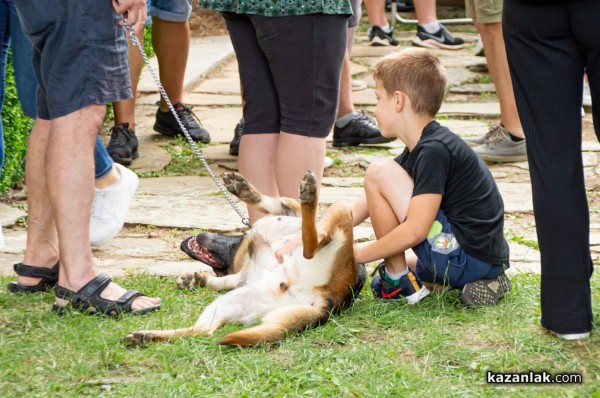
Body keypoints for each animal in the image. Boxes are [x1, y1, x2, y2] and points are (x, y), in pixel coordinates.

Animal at [124, 169, 364, 346]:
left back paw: (309, 196)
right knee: (203, 331)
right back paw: (148, 336)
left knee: (310, 242)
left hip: (340, 208)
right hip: (233, 301)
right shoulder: (242, 277)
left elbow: (281, 201)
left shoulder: (288, 212)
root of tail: (329, 303)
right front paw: (196, 280)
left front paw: (246, 191)